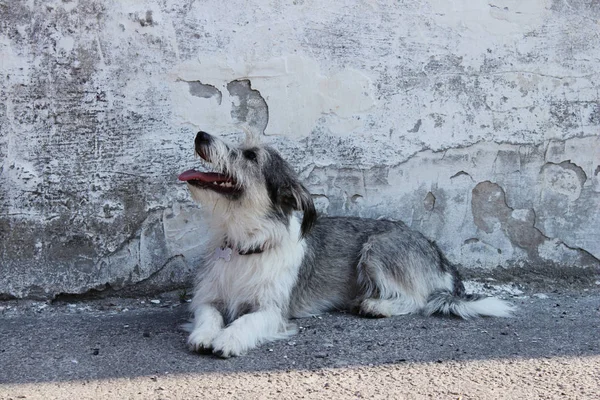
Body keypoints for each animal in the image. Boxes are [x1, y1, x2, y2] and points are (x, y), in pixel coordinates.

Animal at [177, 130, 510, 356]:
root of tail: (439, 256)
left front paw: (229, 339)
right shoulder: (208, 298)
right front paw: (205, 335)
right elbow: (209, 314)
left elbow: (247, 322)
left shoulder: (272, 310)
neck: (245, 242)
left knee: (417, 300)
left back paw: (375, 305)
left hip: (377, 248)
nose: (201, 134)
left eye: (250, 156)